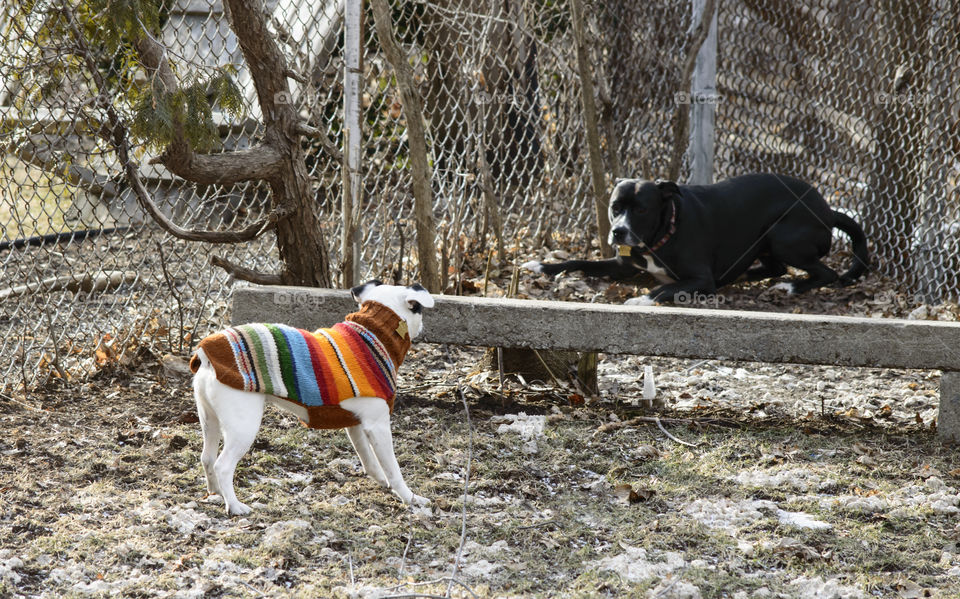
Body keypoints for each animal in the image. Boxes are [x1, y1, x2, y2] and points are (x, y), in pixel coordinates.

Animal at [189, 282, 434, 516]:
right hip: (243, 427)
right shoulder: (378, 426)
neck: (371, 335)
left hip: (209, 420)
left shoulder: (356, 425)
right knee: (222, 466)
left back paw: (216, 493)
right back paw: (234, 505)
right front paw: (410, 498)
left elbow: (369, 460)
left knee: (207, 458)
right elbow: (393, 469)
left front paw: (381, 481)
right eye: (418, 308)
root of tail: (206, 353)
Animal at [524, 173, 872, 304]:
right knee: (774, 268)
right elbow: (578, 261)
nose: (618, 231)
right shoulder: (623, 264)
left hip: (781, 235)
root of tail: (828, 210)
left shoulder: (699, 279)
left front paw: (641, 299)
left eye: (641, 209)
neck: (664, 233)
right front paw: (541, 266)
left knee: (823, 272)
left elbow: (665, 288)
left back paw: (791, 287)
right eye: (616, 207)